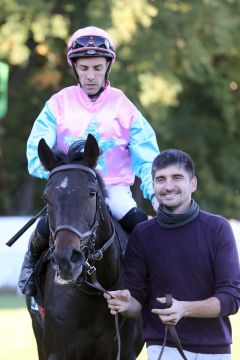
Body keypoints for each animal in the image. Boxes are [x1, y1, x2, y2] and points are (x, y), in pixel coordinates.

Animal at [26, 134, 143, 360]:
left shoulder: (125, 352)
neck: (94, 291)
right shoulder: (56, 351)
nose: (66, 259)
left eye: (91, 193)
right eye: (46, 197)